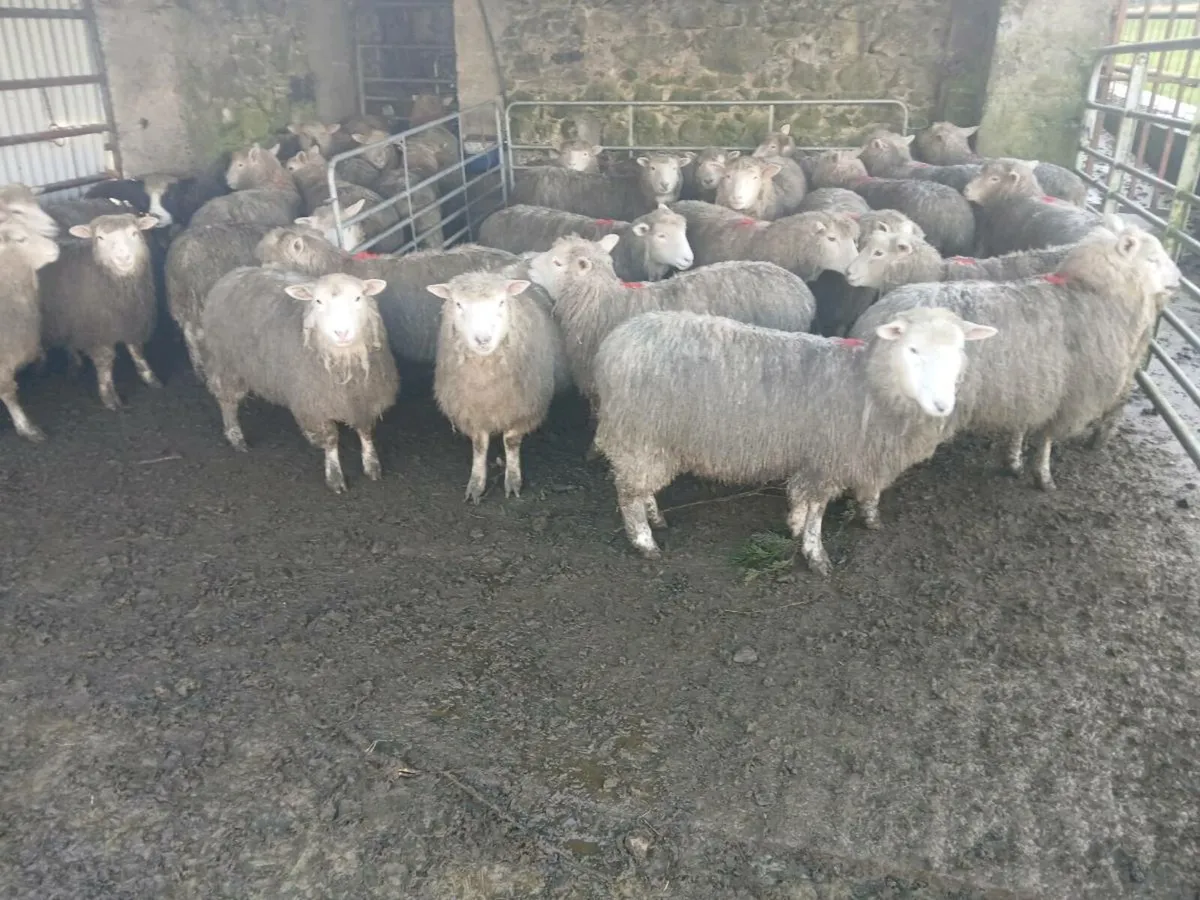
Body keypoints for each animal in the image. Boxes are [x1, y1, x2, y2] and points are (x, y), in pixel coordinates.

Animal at [38, 213, 161, 409]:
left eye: (134, 233)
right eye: (99, 238)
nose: (123, 258)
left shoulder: (133, 318)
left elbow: (137, 350)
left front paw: (150, 378)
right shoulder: (97, 329)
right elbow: (105, 362)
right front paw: (109, 397)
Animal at [200, 269, 399, 493]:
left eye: (358, 298)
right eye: (318, 301)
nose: (341, 333)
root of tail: (236, 272)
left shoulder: (367, 397)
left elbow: (365, 431)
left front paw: (372, 465)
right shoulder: (315, 406)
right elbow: (330, 440)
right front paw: (334, 476)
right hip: (226, 364)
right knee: (227, 402)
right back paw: (236, 436)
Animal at [426, 272, 561, 503]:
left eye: (501, 302)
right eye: (458, 304)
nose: (483, 339)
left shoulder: (524, 409)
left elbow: (511, 441)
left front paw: (513, 480)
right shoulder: (473, 412)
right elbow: (479, 446)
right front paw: (476, 483)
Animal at [592, 307, 996, 573]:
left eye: (960, 350)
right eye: (913, 349)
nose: (942, 405)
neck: (868, 386)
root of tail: (618, 338)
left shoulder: (825, 459)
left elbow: (805, 504)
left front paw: (796, 525)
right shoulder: (826, 461)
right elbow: (816, 511)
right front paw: (815, 554)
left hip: (648, 441)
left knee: (640, 487)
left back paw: (656, 517)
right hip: (640, 433)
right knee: (627, 493)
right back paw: (645, 541)